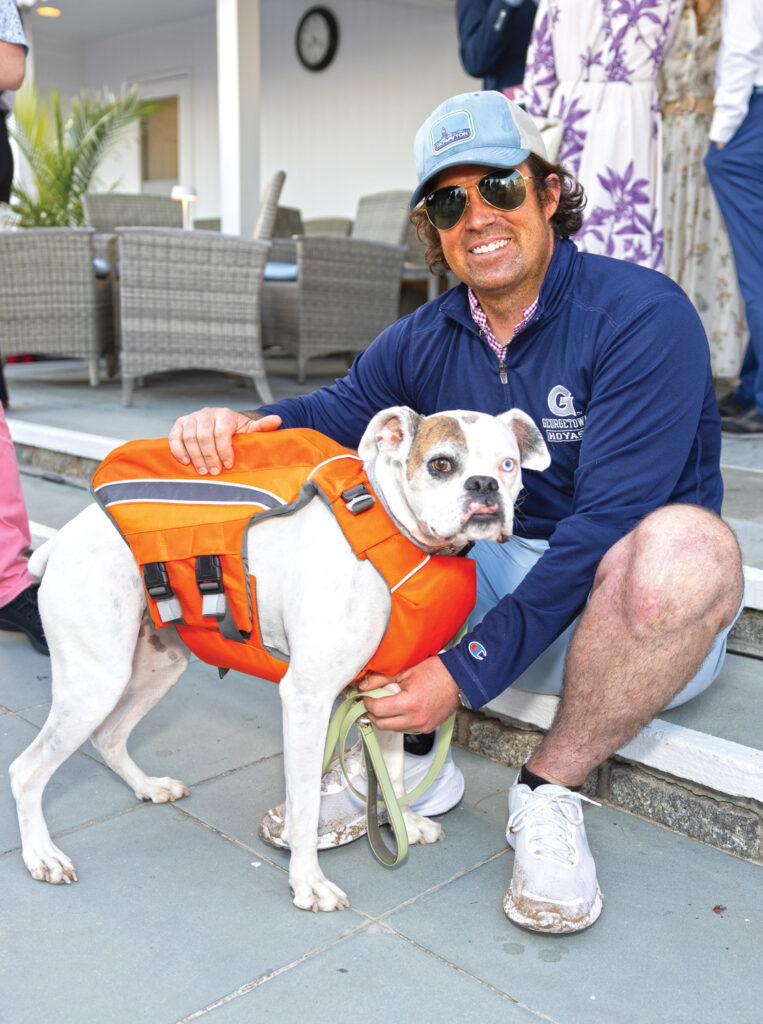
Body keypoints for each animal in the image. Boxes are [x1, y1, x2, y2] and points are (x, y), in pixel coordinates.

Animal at [10, 406, 550, 912]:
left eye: (507, 465)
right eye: (441, 464)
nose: (484, 486)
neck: (392, 531)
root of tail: (61, 541)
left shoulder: (389, 691)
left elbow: (392, 772)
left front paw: (406, 823)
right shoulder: (307, 699)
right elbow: (305, 804)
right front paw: (307, 882)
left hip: (156, 667)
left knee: (108, 737)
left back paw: (147, 786)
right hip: (97, 679)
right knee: (27, 770)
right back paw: (42, 856)